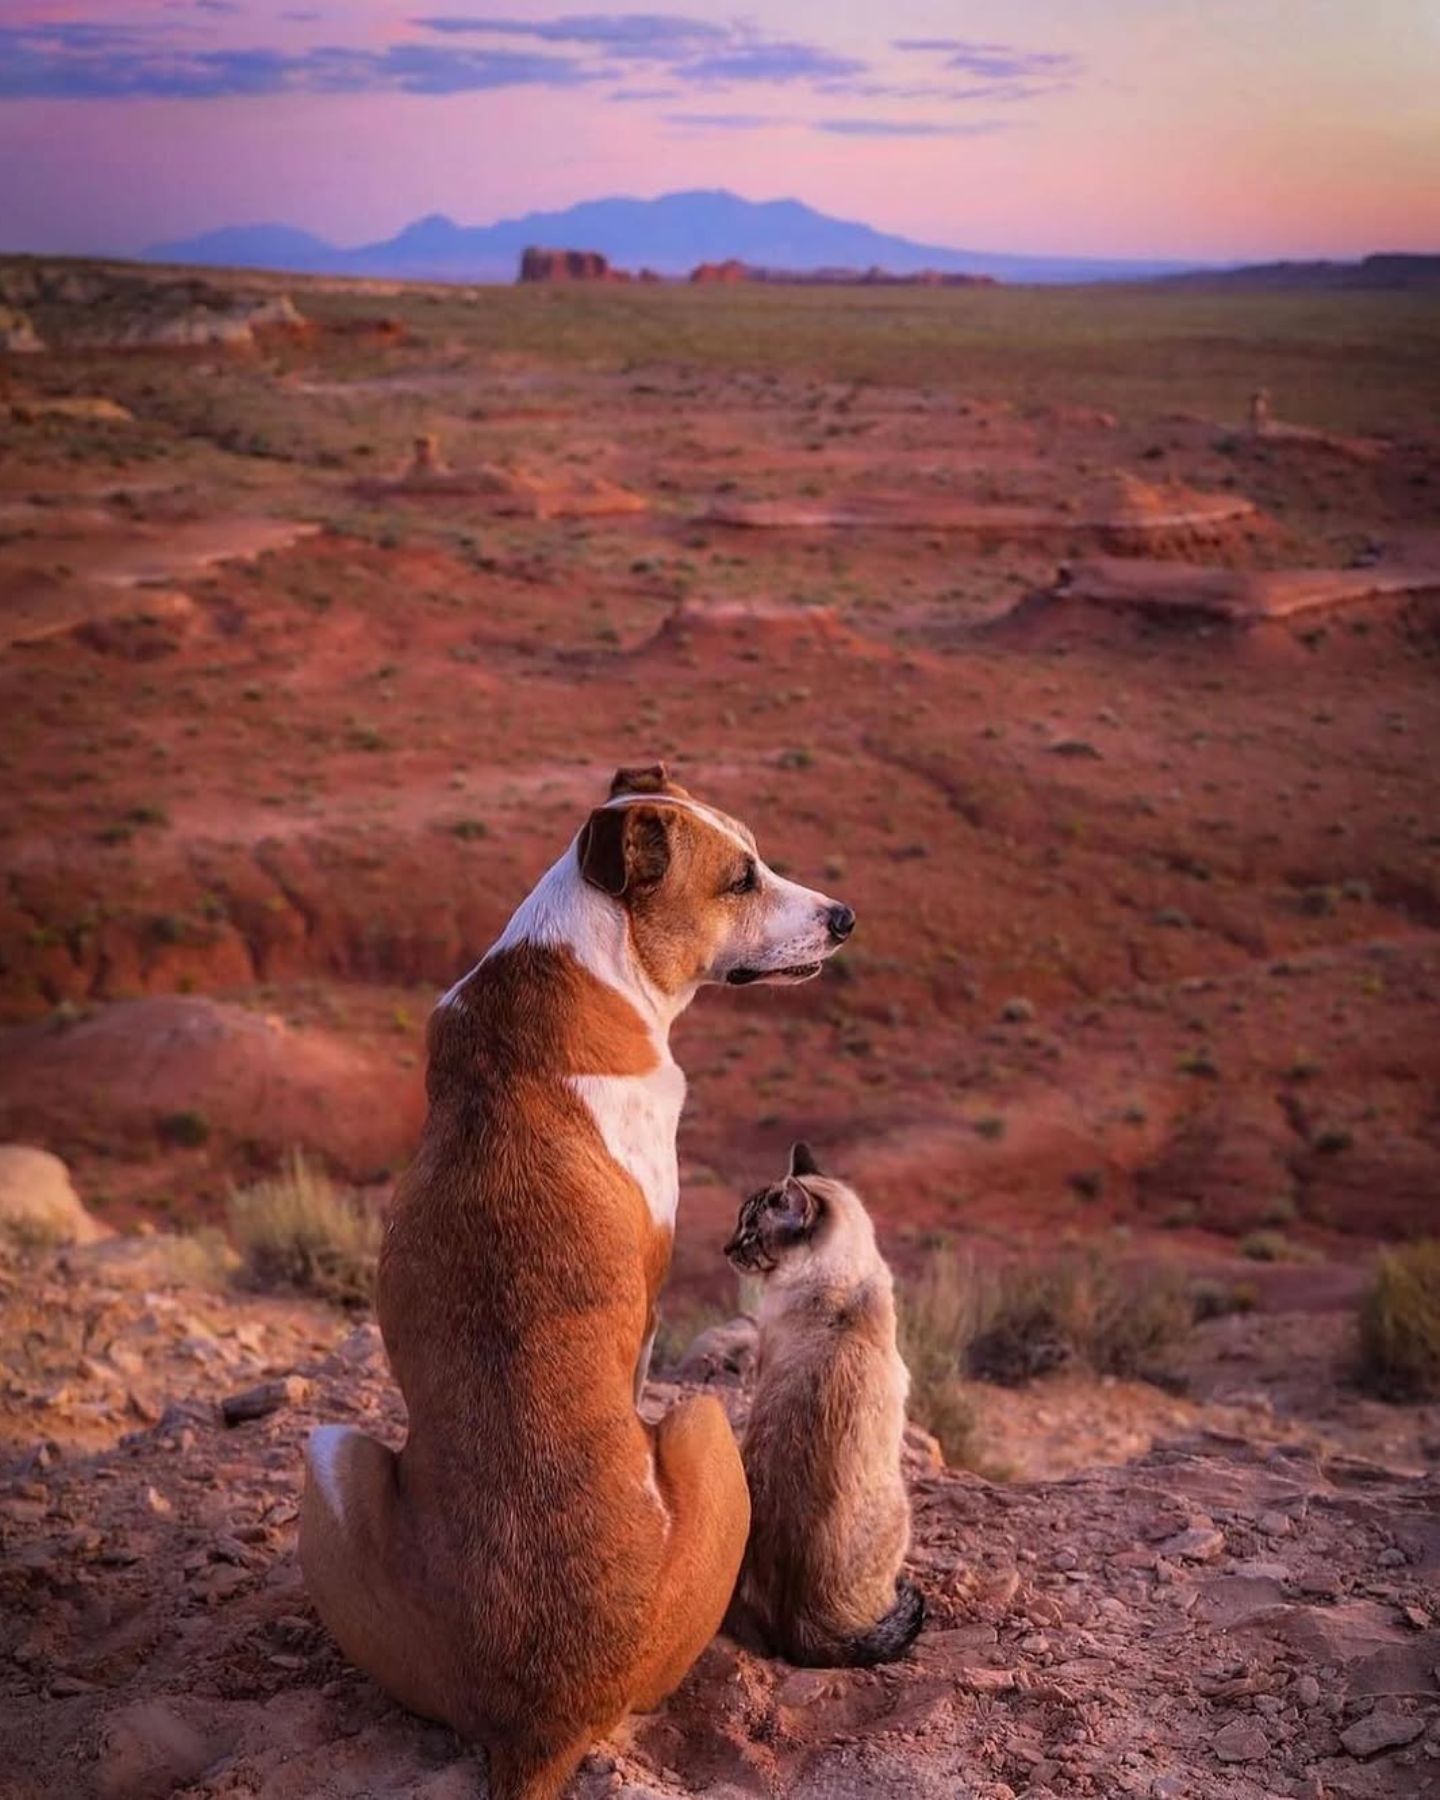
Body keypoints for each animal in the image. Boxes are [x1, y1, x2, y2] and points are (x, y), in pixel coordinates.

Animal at [297, 763, 849, 1800]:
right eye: (740, 879)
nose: (845, 917)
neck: (592, 963)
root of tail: (540, 1722)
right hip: (699, 1428)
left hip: (335, 1458)